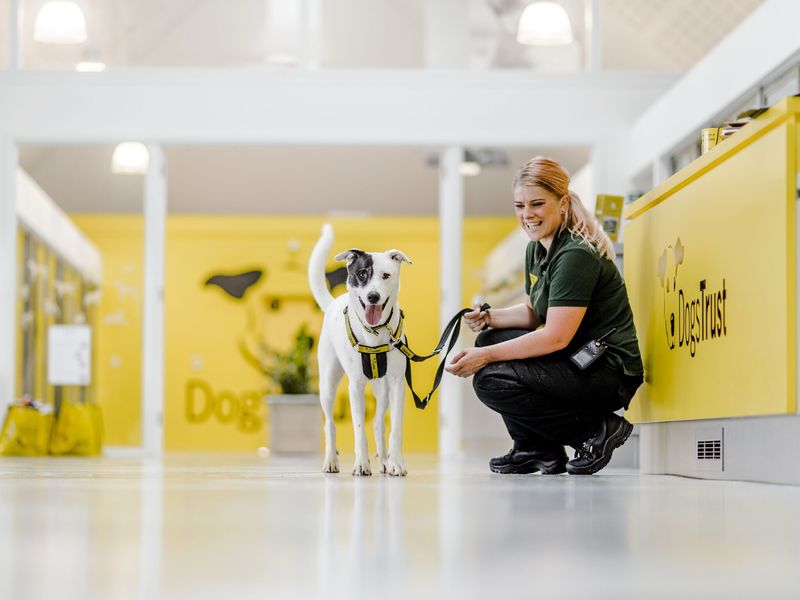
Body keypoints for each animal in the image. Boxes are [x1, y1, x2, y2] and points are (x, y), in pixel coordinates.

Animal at [308, 223, 412, 476]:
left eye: (386, 275)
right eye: (362, 274)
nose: (373, 296)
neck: (374, 333)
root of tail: (333, 303)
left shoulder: (397, 384)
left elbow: (395, 427)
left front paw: (396, 463)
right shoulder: (355, 385)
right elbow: (357, 429)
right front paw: (361, 464)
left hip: (382, 388)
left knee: (377, 423)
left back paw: (384, 461)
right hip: (327, 383)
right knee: (329, 424)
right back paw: (330, 461)